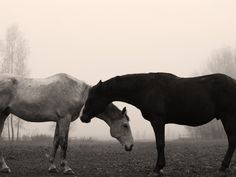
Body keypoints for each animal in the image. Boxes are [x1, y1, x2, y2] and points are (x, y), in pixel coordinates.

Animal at [0, 73, 134, 174]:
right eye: (125, 125)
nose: (131, 146)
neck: (77, 92)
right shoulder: (65, 119)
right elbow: (64, 143)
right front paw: (66, 168)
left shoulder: (59, 120)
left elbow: (56, 142)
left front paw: (52, 167)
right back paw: (5, 167)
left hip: (4, 114)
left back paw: (4, 167)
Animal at [80, 72, 236, 176]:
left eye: (92, 98)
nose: (83, 117)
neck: (147, 89)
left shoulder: (158, 121)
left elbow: (160, 144)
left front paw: (157, 168)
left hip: (228, 117)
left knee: (231, 141)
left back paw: (223, 166)